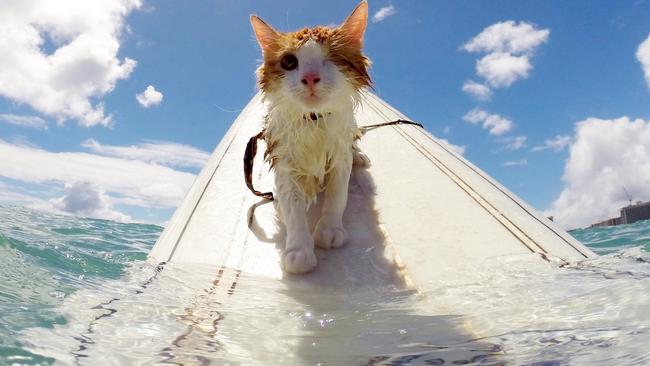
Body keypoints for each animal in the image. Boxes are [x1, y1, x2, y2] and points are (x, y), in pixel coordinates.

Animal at [249, 0, 370, 274]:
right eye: (289, 62)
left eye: (332, 58)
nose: (310, 77)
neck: (314, 120)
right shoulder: (283, 157)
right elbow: (292, 207)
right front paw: (298, 249)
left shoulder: (339, 153)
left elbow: (338, 193)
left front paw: (330, 229)